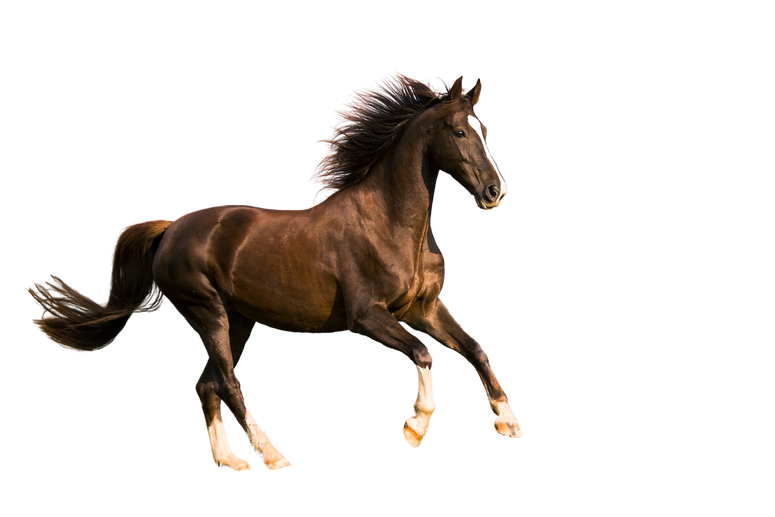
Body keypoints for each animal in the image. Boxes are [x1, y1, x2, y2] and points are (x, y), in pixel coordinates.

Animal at [19, 67, 525, 475]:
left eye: (486, 129)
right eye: (459, 132)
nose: (497, 193)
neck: (392, 224)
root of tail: (172, 226)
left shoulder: (425, 307)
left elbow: (476, 347)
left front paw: (508, 424)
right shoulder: (367, 316)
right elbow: (425, 352)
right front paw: (415, 428)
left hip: (237, 321)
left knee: (204, 384)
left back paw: (231, 462)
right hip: (207, 313)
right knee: (228, 382)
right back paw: (273, 456)